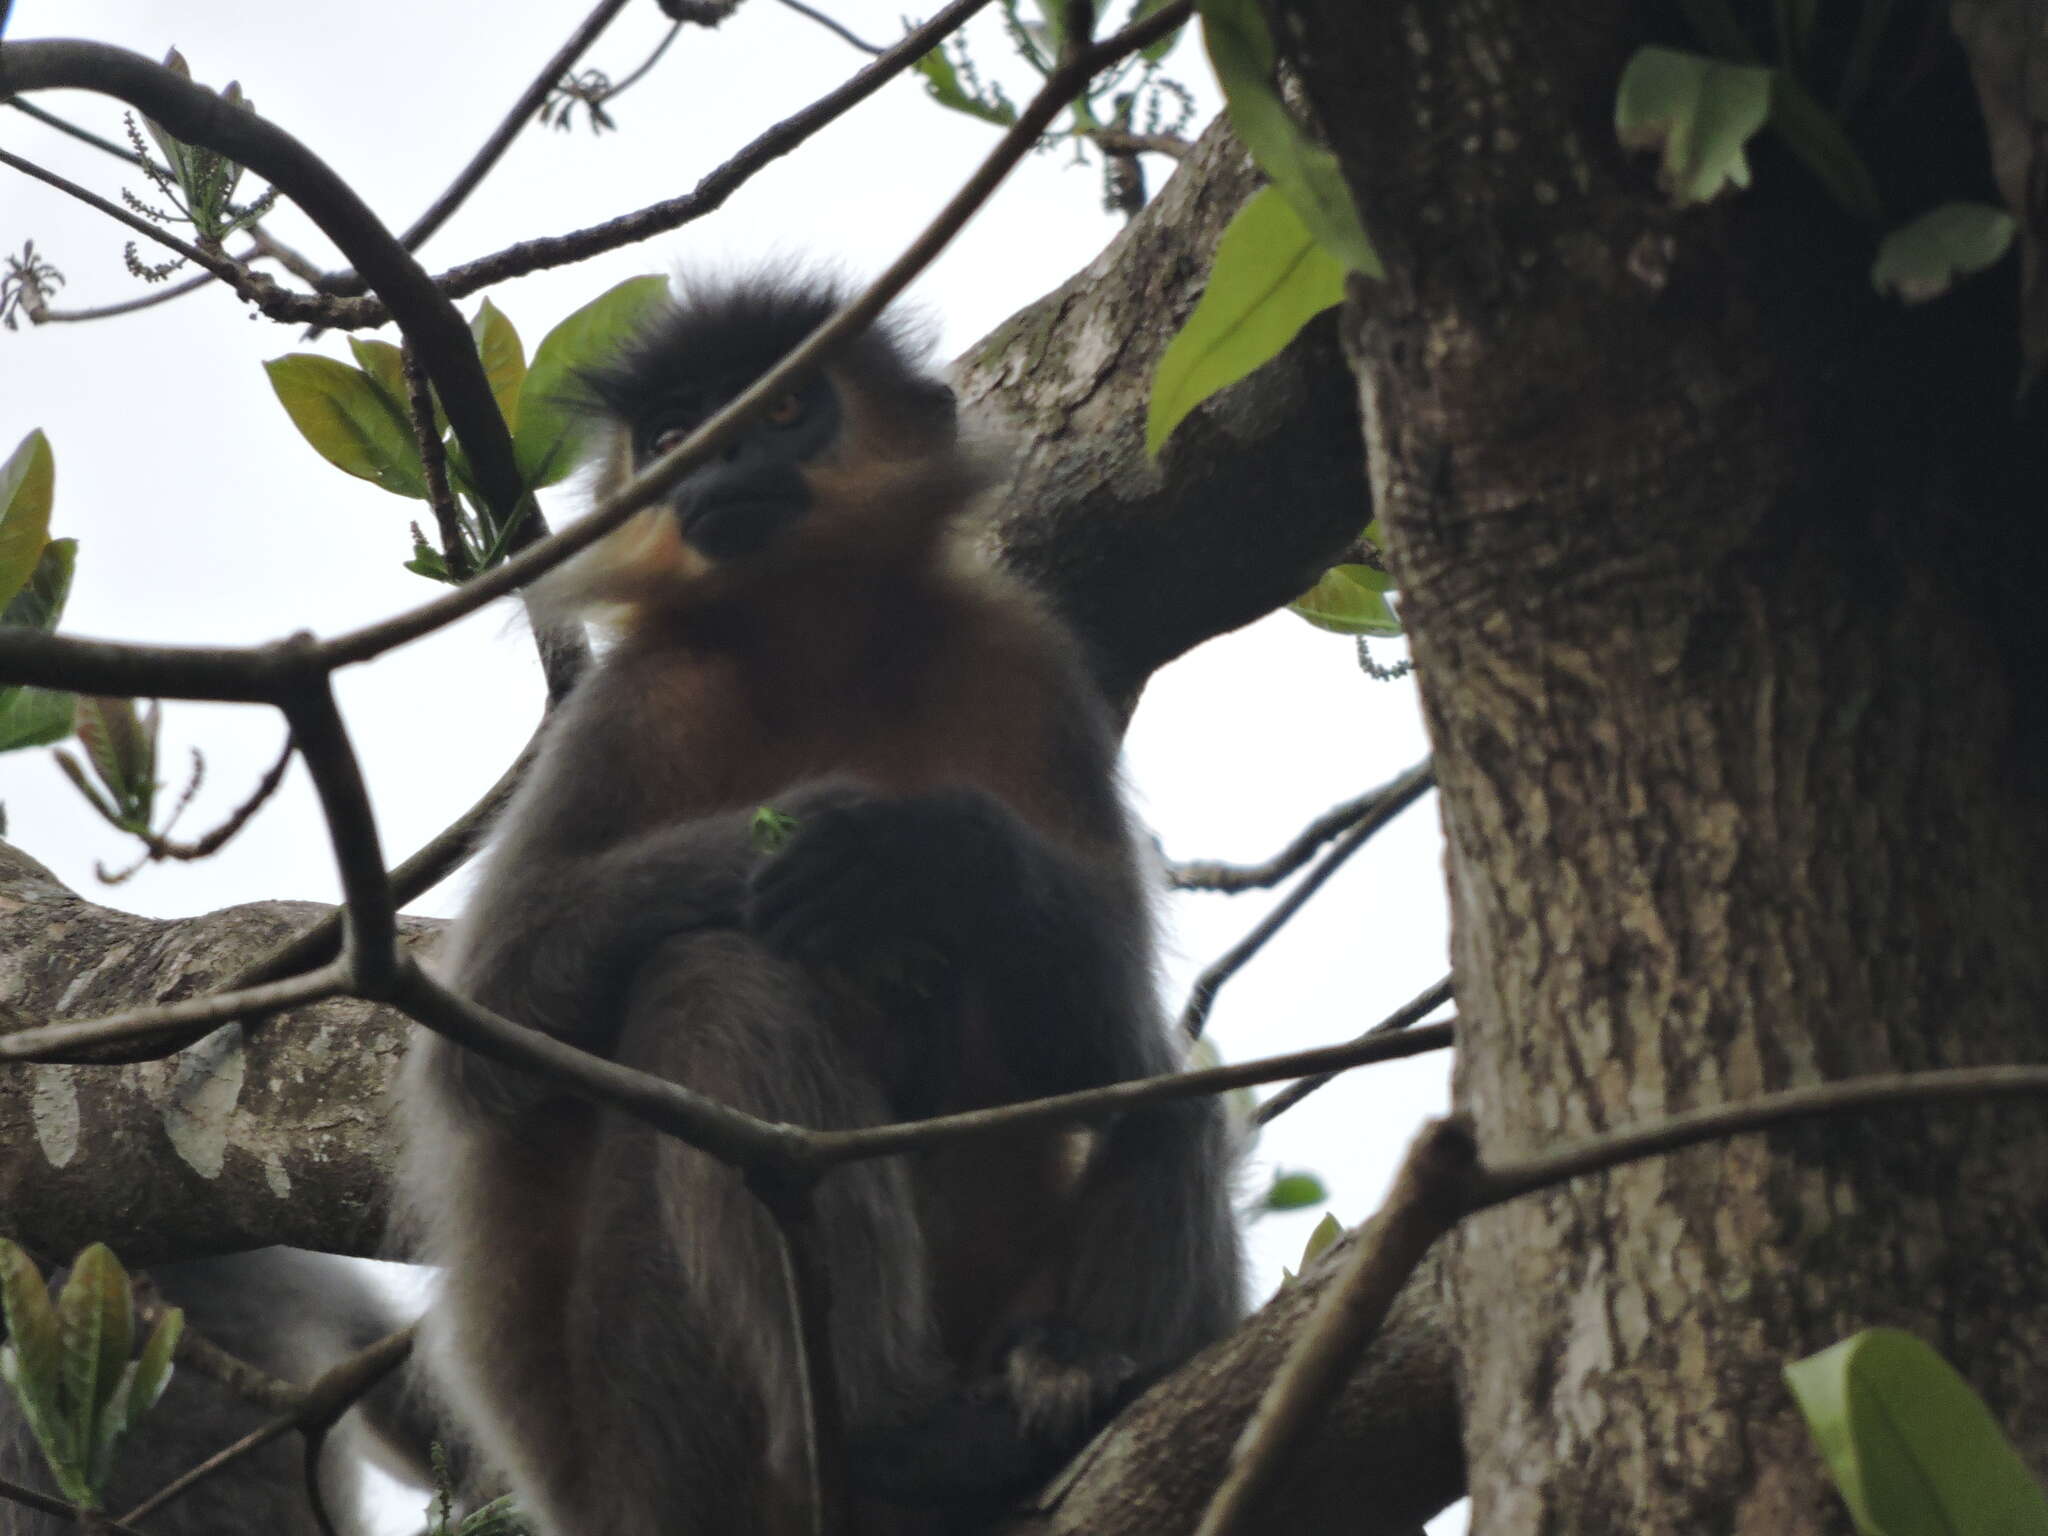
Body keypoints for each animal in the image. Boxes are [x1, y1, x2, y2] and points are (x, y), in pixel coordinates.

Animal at [391, 276, 1236, 1536]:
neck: (811, 644)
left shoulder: (1020, 660)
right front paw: (789, 843)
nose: (723, 451)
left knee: (1157, 1086)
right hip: (663, 1431)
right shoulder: (628, 707)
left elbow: (1099, 1028)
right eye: (672, 429)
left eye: (784, 405)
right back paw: (902, 1442)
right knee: (709, 979)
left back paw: (1067, 1368)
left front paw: (928, 856)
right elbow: (478, 1040)